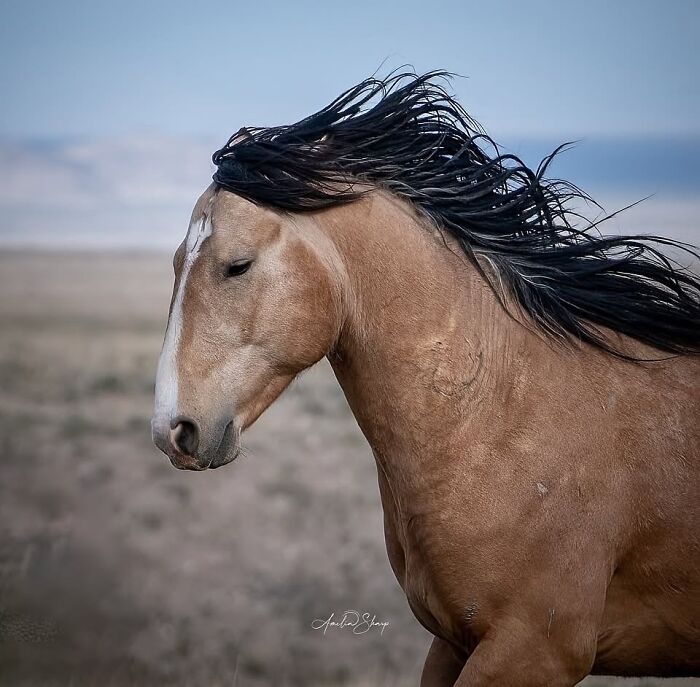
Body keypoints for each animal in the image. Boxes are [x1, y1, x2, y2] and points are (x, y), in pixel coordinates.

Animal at [151, 72, 700, 685]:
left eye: (237, 265)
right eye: (175, 263)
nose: (172, 430)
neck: (500, 417)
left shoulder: (535, 650)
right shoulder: (454, 640)